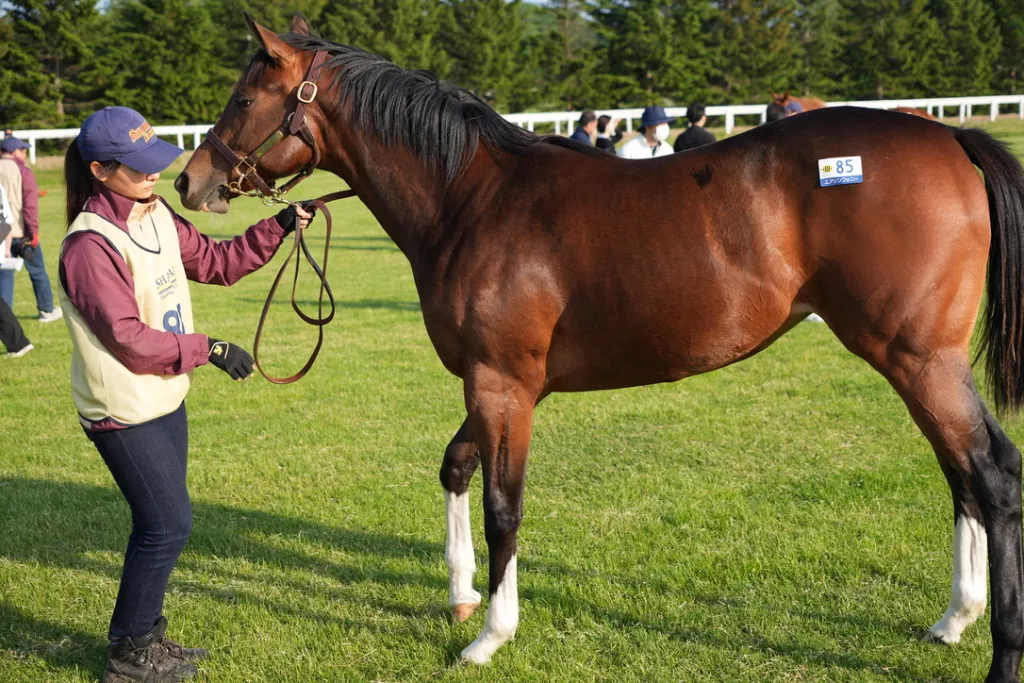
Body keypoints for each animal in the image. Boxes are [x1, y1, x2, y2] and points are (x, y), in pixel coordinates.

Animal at [177, 14, 1024, 680]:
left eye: (244, 98)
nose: (191, 180)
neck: (471, 198)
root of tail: (952, 136)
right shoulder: (496, 385)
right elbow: (456, 468)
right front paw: (460, 594)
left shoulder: (502, 384)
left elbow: (503, 505)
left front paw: (491, 634)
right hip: (917, 364)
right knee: (961, 476)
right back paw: (954, 619)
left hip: (918, 359)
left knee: (991, 474)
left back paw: (1000, 652)